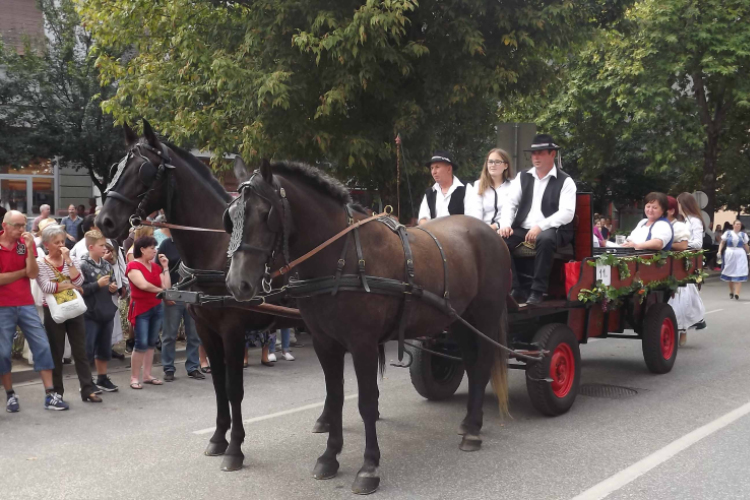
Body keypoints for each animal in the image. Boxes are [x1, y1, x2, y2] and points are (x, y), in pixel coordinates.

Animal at [96, 122, 302, 472]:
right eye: (115, 168)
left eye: (143, 170)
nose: (103, 221)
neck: (217, 253)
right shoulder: (206, 329)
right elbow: (218, 384)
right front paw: (218, 439)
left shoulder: (232, 331)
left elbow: (234, 388)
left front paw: (235, 449)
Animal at [226, 159, 516, 492]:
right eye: (231, 216)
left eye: (266, 214)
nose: (237, 284)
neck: (343, 256)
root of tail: (491, 233)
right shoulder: (325, 343)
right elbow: (335, 398)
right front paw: (330, 456)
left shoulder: (362, 344)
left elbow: (366, 402)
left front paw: (368, 467)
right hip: (458, 318)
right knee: (470, 362)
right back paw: (468, 422)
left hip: (485, 316)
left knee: (481, 367)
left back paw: (474, 431)